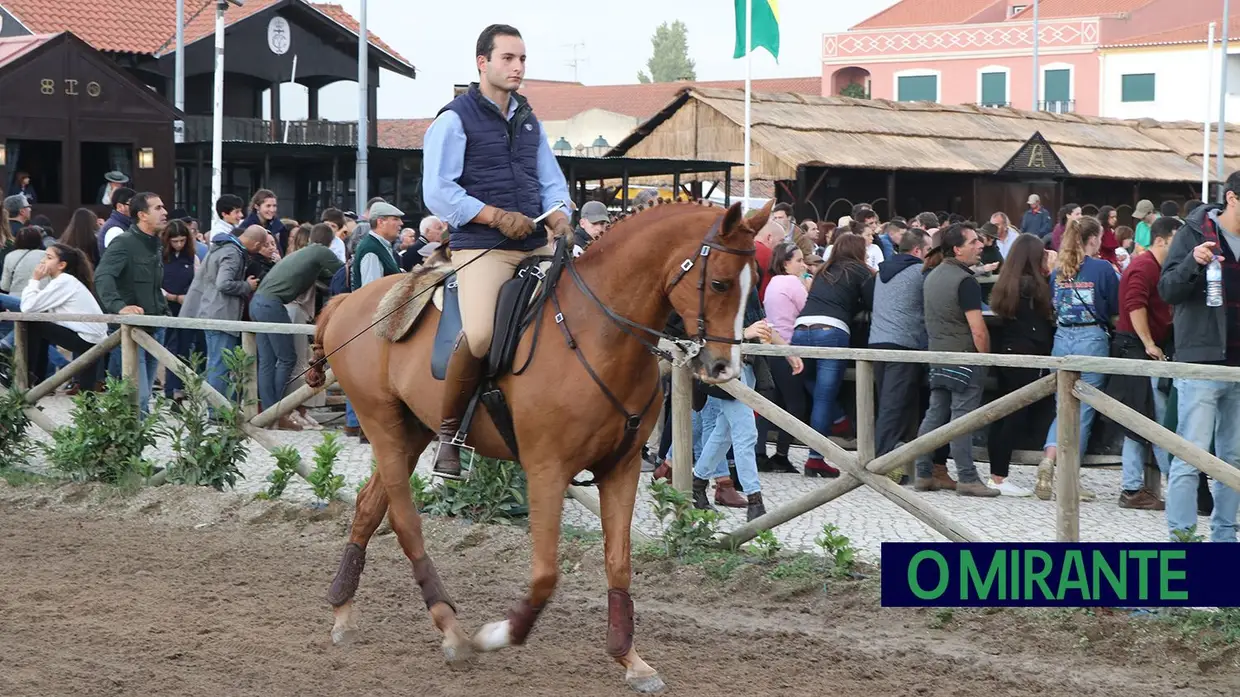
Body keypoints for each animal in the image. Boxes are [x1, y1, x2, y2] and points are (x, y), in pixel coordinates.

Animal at [310, 198, 763, 684]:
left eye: (752, 286)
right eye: (718, 283)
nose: (724, 369)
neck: (596, 333)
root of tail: (348, 301)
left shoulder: (620, 469)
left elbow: (619, 563)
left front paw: (629, 657)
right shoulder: (547, 471)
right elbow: (546, 574)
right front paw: (498, 634)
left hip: (412, 431)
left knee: (369, 506)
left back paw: (343, 610)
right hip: (383, 427)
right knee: (404, 521)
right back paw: (451, 630)